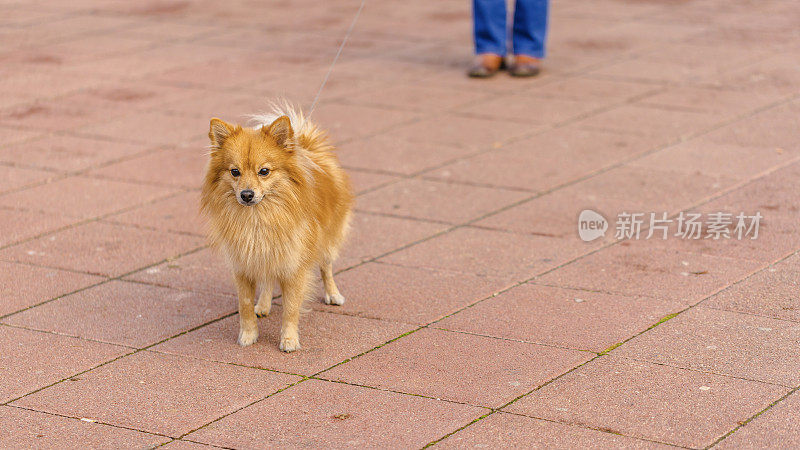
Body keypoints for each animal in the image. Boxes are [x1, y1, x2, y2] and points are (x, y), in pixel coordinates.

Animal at [200, 105, 354, 352]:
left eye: (264, 171)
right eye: (234, 172)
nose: (246, 194)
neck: (258, 218)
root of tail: (308, 144)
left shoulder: (293, 266)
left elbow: (291, 308)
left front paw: (289, 340)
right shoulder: (244, 264)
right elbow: (244, 305)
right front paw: (248, 334)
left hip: (327, 241)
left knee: (326, 267)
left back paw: (333, 294)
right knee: (268, 279)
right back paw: (263, 305)